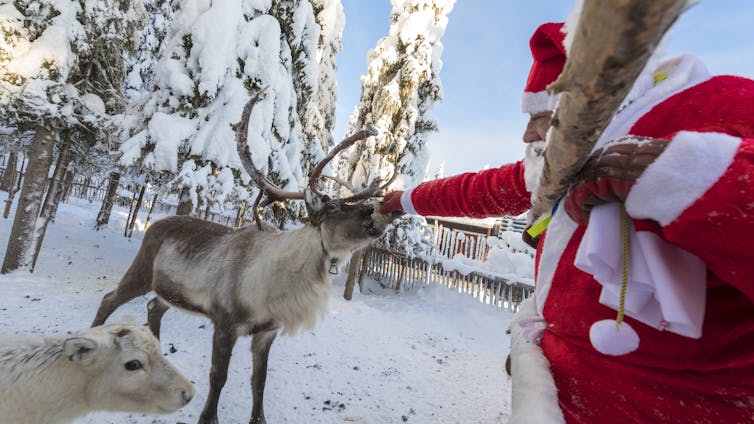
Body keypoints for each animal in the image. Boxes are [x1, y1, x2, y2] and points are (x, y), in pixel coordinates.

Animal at [91, 89, 395, 424]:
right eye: (334, 207)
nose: (373, 209)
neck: (277, 286)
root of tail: (153, 223)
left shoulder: (266, 333)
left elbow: (258, 381)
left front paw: (258, 419)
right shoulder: (226, 323)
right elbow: (218, 377)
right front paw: (208, 418)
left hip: (169, 289)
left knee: (154, 306)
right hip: (142, 270)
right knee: (110, 298)